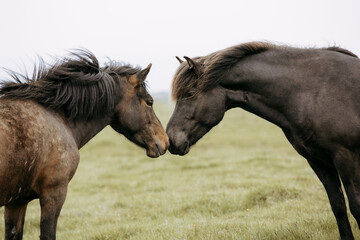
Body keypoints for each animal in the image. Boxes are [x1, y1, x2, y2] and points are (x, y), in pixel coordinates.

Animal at [167, 42, 360, 239]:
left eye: (189, 94)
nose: (171, 140)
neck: (314, 92)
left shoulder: (346, 158)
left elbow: (356, 207)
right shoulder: (318, 162)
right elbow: (338, 207)